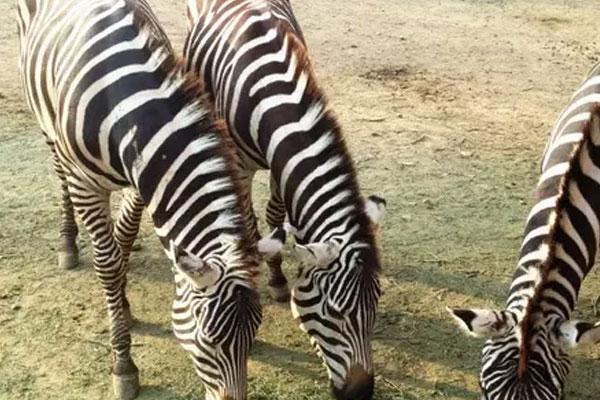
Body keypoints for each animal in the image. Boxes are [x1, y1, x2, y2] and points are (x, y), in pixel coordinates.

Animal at [17, 0, 262, 400]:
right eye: (208, 342)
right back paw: (68, 242)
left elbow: (123, 239)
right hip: (47, 126)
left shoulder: (140, 181)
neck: (124, 104)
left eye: (254, 334)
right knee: (59, 174)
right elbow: (107, 264)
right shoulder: (87, 184)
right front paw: (123, 363)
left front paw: (123, 300)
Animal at [183, 1, 386, 398]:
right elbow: (248, 220)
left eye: (375, 307)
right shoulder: (241, 164)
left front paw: (278, 274)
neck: (268, 89)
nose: (360, 394)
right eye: (334, 313)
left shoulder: (281, 161)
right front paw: (262, 275)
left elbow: (278, 212)